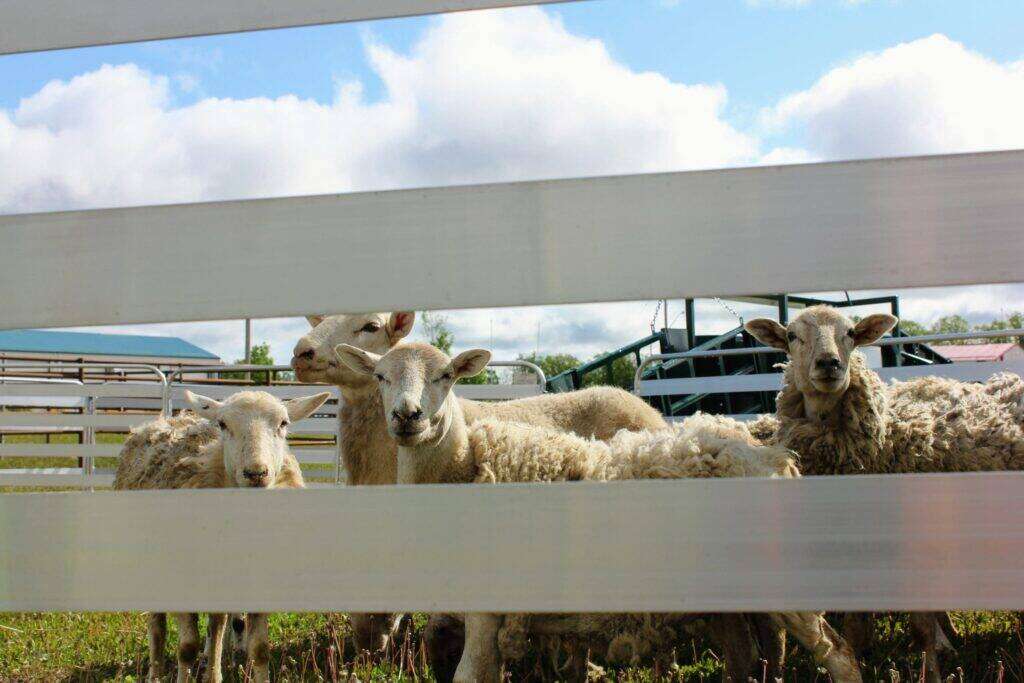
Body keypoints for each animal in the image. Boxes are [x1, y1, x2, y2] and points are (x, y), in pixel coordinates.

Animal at [114, 389, 331, 683]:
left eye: (283, 423)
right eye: (223, 424)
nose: (256, 473)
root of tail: (164, 420)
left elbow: (259, 648)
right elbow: (186, 647)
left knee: (218, 623)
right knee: (157, 626)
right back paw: (156, 672)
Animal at [335, 341, 863, 683]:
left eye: (446, 376)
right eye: (380, 376)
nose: (407, 417)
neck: (464, 469)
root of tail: (771, 452)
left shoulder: (487, 608)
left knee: (839, 654)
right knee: (746, 658)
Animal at [745, 304, 1024, 683]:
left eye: (850, 333)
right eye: (791, 335)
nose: (829, 364)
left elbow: (920, 628)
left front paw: (931, 671)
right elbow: (856, 628)